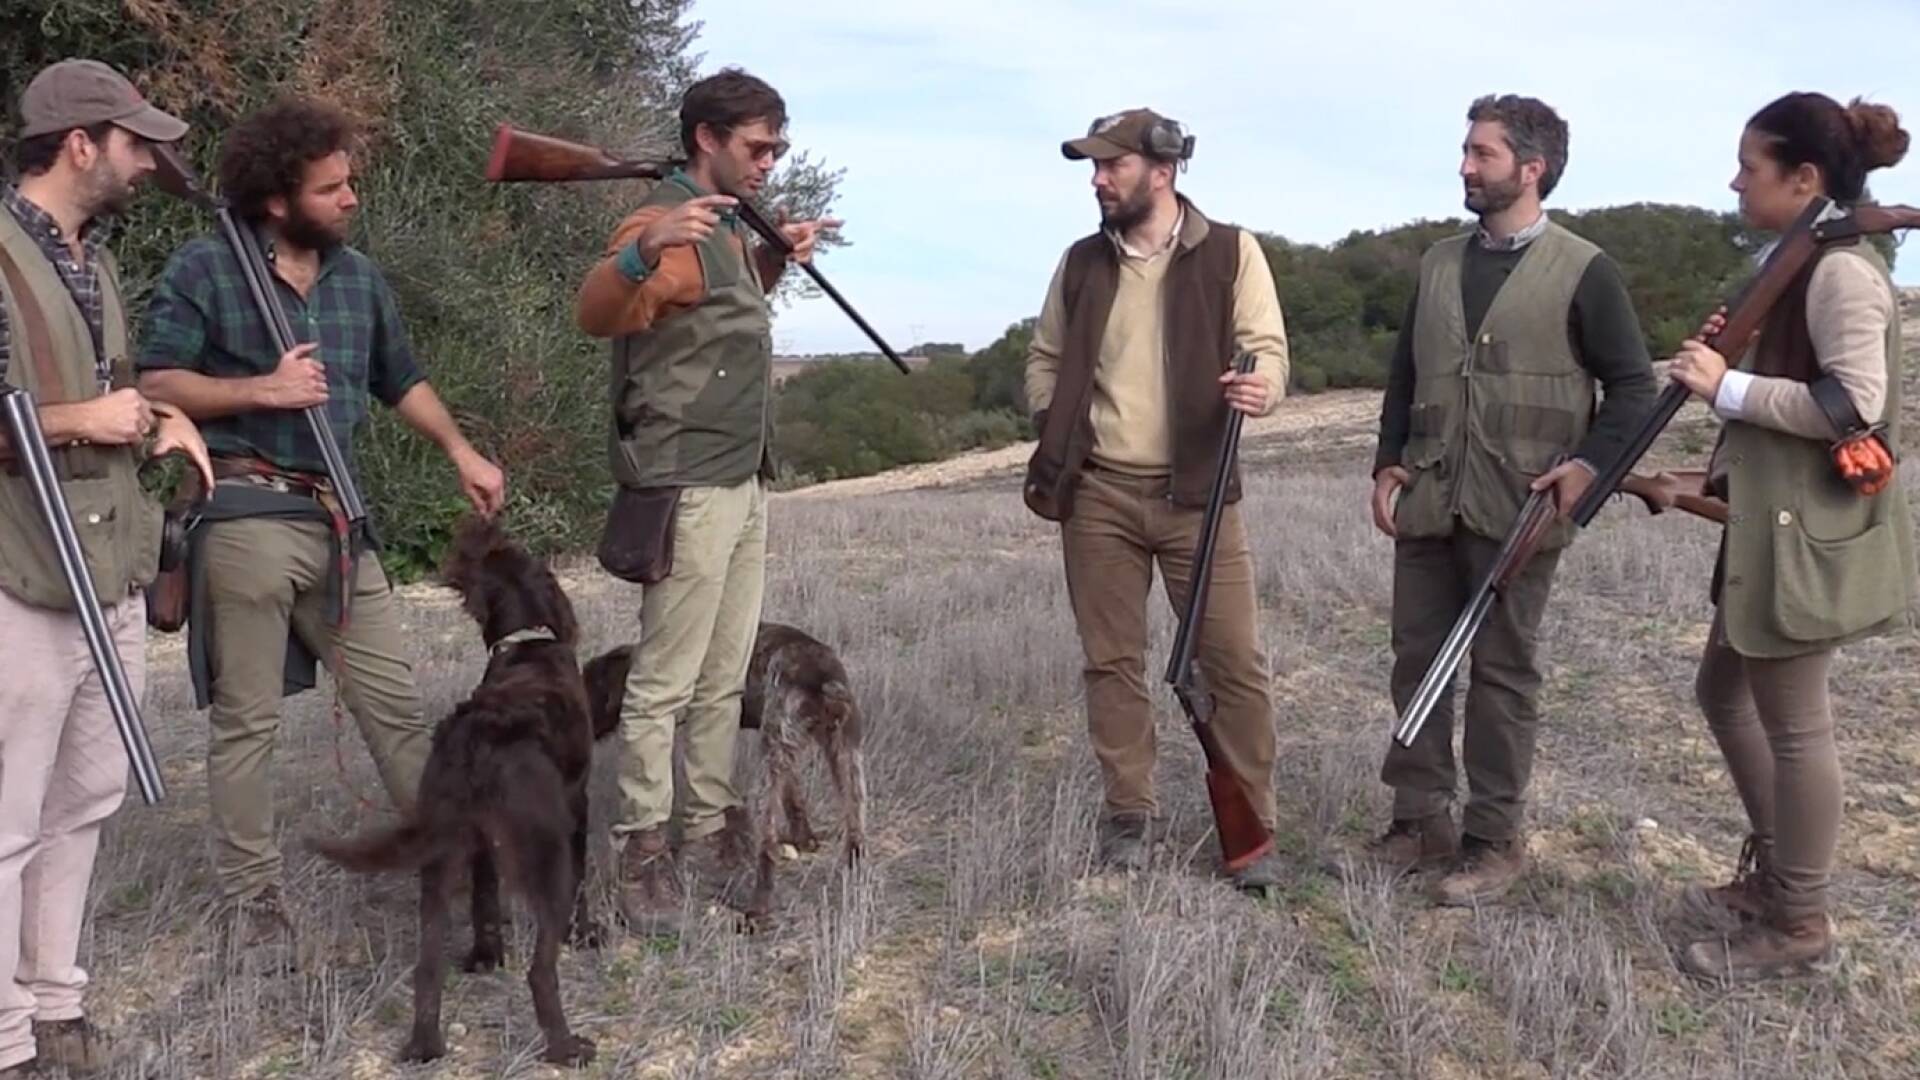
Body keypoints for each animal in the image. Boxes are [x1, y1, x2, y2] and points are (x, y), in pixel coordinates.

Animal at [307, 511, 595, 1060]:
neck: (529, 646)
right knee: (540, 971)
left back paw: (425, 1043)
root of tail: (476, 739)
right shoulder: (576, 809)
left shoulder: (477, 841)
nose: (478, 522)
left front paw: (486, 955)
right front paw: (587, 934)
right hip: (543, 854)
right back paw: (566, 1046)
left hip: (439, 857)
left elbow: (484, 902)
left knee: (427, 967)